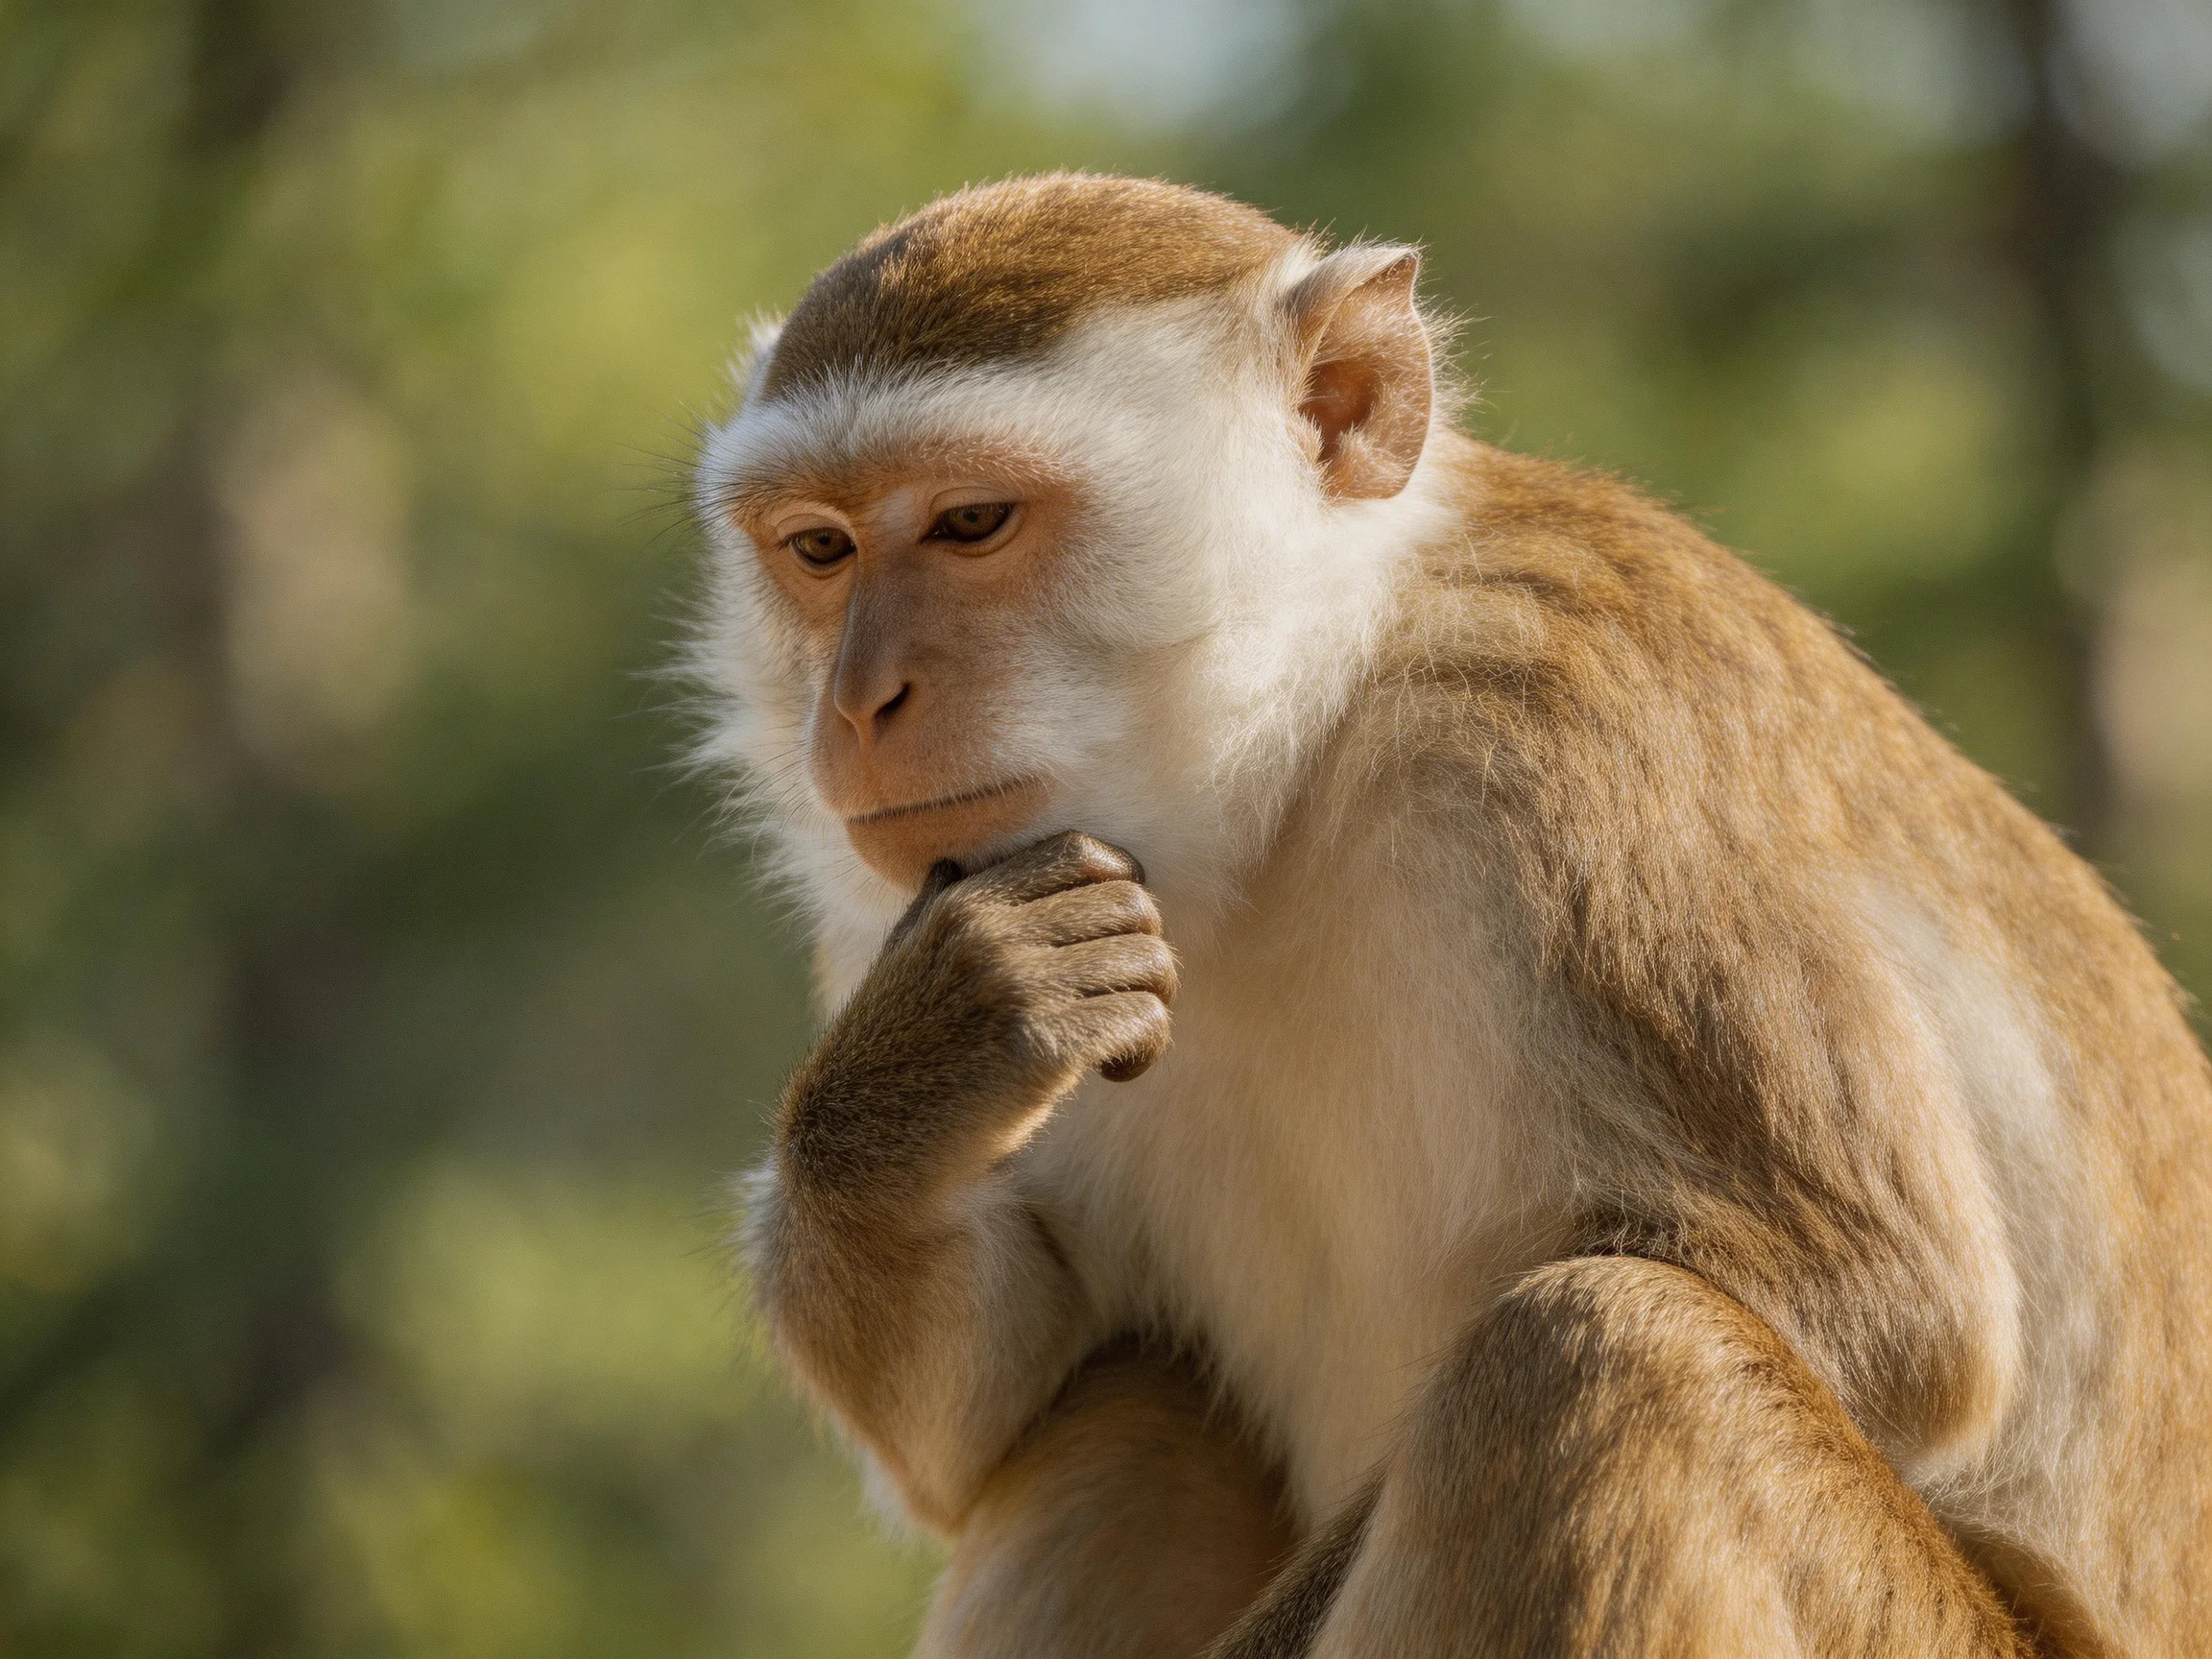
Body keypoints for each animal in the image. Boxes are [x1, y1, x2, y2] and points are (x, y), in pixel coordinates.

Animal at [686, 173, 2212, 1656]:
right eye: (818, 548)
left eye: (971, 524)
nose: (857, 705)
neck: (1303, 746)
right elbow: (996, 1407)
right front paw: (914, 1088)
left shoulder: (1560, 725)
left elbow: (1888, 1314)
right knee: (1135, 1412)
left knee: (1599, 1352)